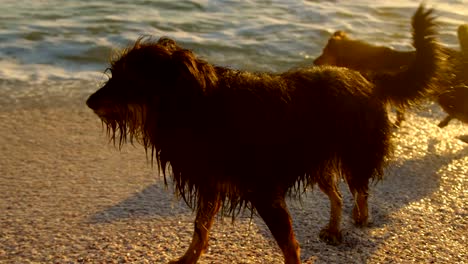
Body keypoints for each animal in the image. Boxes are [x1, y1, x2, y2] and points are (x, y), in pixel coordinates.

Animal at [86, 5, 440, 262]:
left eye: (127, 79)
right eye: (113, 75)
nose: (89, 102)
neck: (195, 104)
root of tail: (368, 78)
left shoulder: (263, 189)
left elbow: (288, 243)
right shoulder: (212, 182)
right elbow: (200, 228)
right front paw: (188, 258)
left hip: (354, 151)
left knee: (360, 190)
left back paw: (361, 218)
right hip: (318, 158)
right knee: (337, 194)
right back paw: (334, 227)